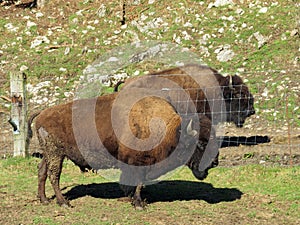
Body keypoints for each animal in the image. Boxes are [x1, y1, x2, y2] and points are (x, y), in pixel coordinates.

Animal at [28, 90, 219, 208]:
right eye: (201, 143)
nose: (214, 163)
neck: (170, 129)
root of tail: (43, 113)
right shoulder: (138, 163)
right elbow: (138, 183)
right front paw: (138, 203)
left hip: (49, 154)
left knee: (41, 171)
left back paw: (44, 200)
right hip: (56, 154)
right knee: (54, 175)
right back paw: (64, 203)